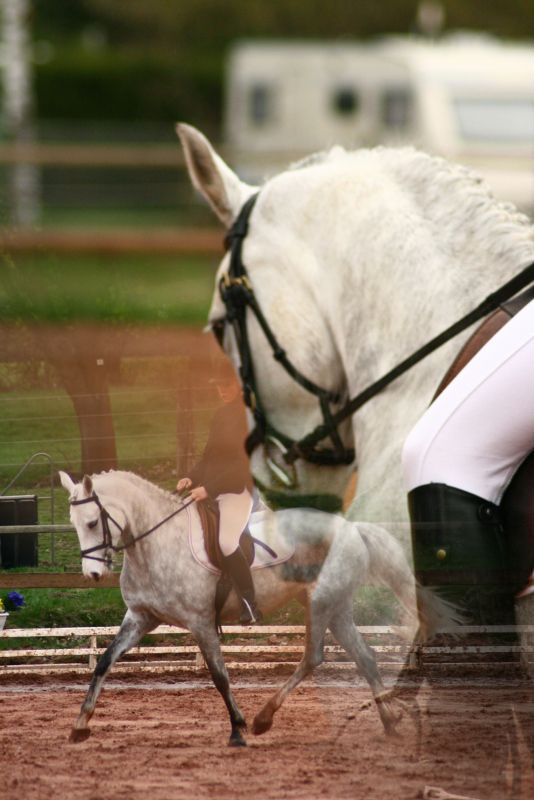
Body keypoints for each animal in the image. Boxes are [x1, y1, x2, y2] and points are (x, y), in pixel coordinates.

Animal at [59, 469, 449, 747]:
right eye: (74, 524)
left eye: (93, 522)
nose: (93, 574)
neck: (156, 543)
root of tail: (351, 527)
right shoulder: (141, 618)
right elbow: (105, 661)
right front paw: (80, 724)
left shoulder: (201, 623)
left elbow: (219, 676)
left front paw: (238, 728)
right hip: (335, 605)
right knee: (364, 656)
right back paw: (389, 721)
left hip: (321, 601)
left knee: (314, 657)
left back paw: (264, 719)